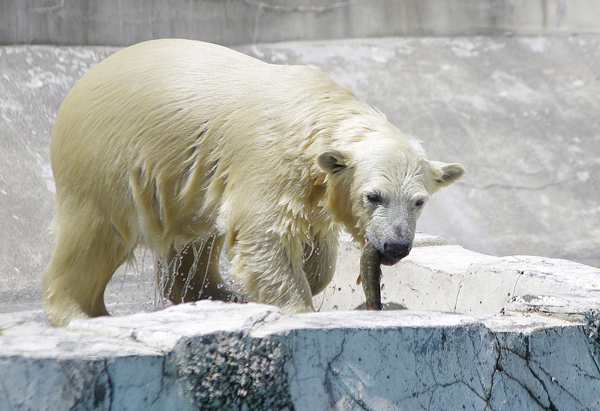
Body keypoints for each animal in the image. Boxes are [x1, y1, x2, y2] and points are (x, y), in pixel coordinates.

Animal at [42, 40, 466, 326]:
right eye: (373, 196)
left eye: (419, 201)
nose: (395, 246)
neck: (315, 113)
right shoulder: (268, 159)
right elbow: (265, 236)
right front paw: (298, 308)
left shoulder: (309, 184)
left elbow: (316, 246)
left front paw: (305, 279)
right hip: (106, 156)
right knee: (96, 232)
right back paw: (79, 313)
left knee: (195, 240)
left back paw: (219, 295)